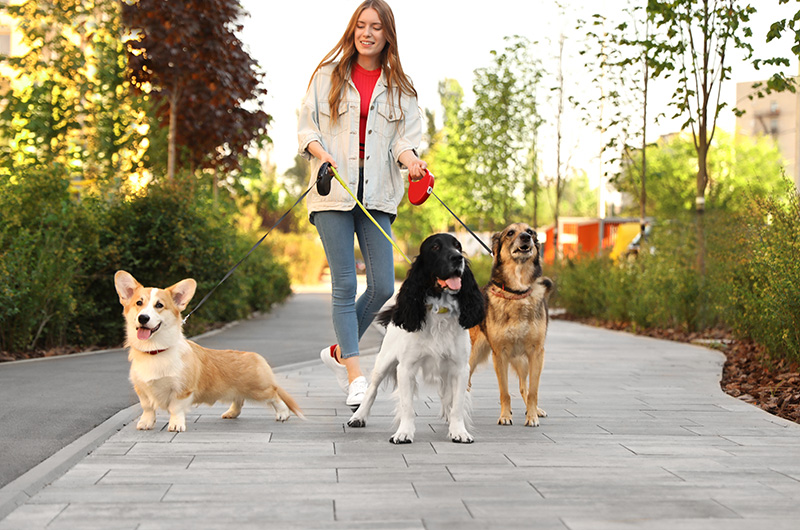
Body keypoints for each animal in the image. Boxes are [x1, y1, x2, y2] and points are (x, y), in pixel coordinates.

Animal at [112, 270, 300, 432]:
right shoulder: (142, 389)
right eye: (139, 303)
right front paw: (145, 423)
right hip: (240, 391)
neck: (156, 350)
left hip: (259, 389)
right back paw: (231, 413)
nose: (143, 318)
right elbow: (148, 408)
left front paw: (176, 425)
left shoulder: (182, 390)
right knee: (239, 399)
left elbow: (175, 409)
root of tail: (254, 356)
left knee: (275, 395)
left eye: (159, 305)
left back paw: (283, 414)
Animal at [466, 223, 552, 424]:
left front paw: (532, 416)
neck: (517, 293)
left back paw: (535, 410)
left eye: (530, 231)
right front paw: (505, 416)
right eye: (510, 233)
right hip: (474, 354)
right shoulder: (500, 355)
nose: (525, 237)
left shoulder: (536, 353)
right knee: (464, 382)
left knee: (523, 387)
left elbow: (533, 391)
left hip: (523, 361)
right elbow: (504, 392)